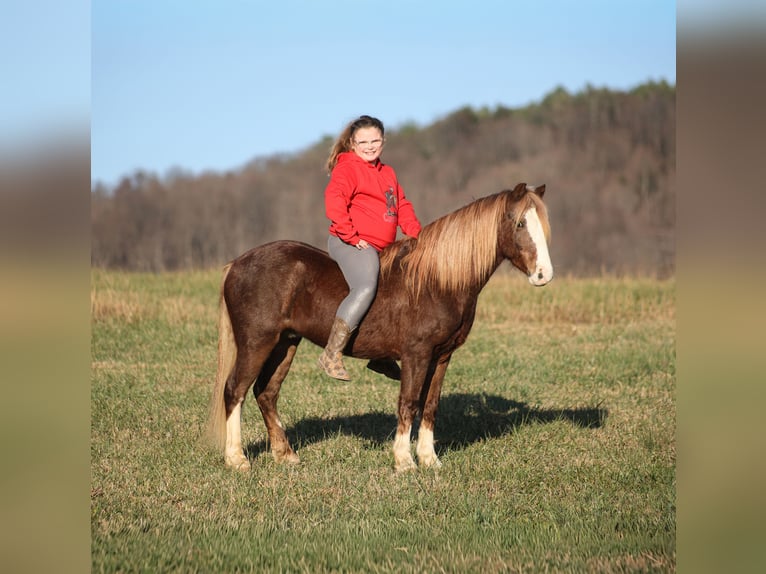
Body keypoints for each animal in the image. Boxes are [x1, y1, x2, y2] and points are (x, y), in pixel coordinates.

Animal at [207, 182, 553, 472]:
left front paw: (429, 460)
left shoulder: (441, 357)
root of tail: (236, 264)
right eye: (520, 223)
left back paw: (285, 454)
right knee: (235, 390)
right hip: (257, 342)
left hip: (285, 344)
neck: (437, 281)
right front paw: (404, 461)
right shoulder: (416, 354)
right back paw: (236, 459)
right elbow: (408, 403)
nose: (543, 275)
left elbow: (430, 405)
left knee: (266, 393)